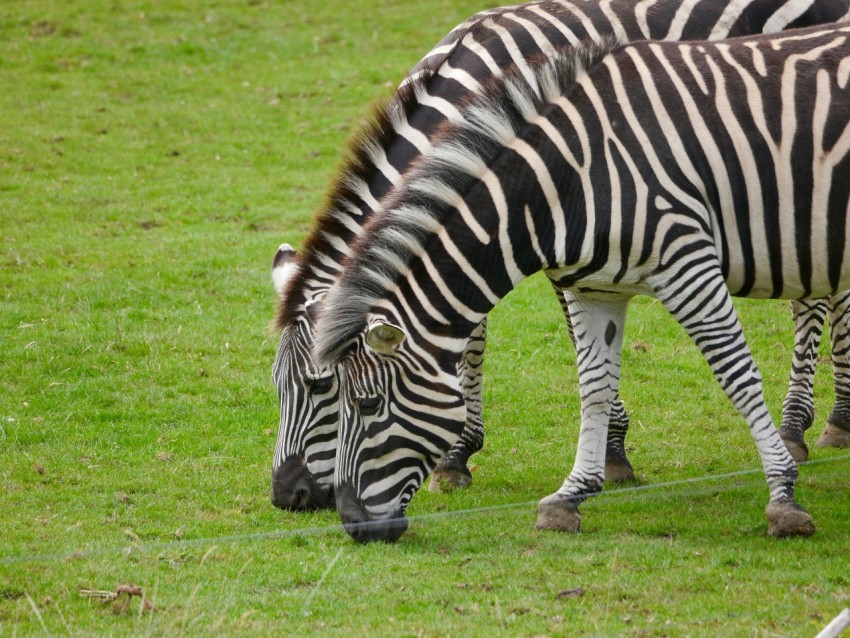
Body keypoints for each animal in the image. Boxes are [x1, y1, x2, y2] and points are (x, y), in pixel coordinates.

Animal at [270, 0, 848, 512]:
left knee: (818, 302)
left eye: (323, 386)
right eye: (278, 387)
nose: (288, 496)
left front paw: (611, 449)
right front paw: (459, 456)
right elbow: (476, 335)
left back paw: (813, 423)